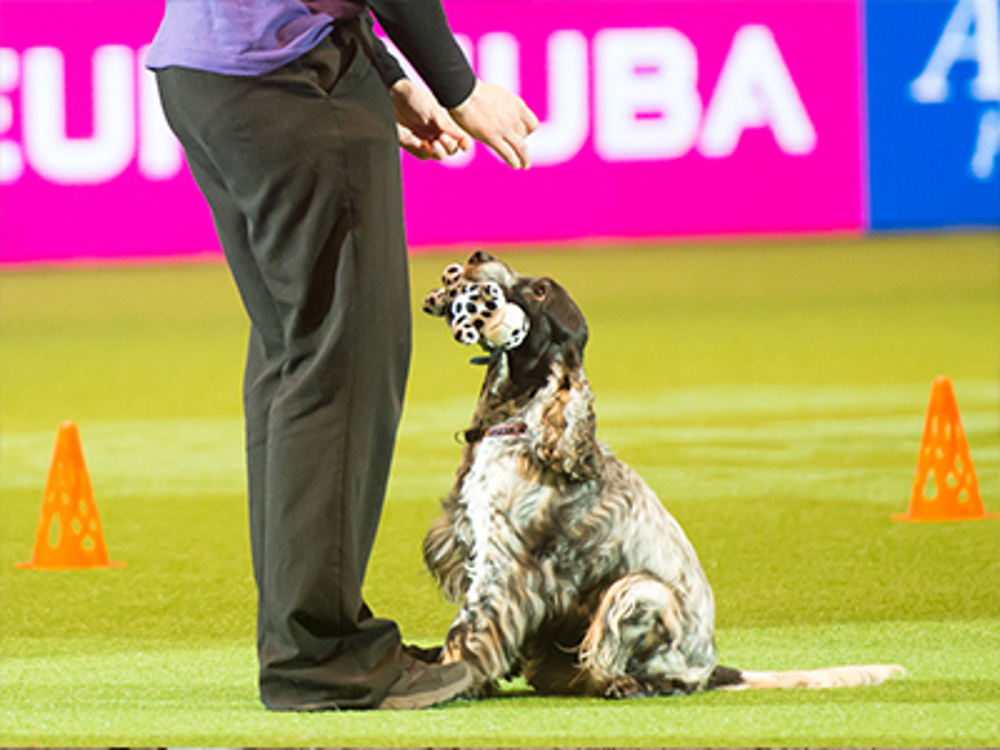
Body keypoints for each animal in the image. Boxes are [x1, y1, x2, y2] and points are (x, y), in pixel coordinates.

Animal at [418, 251, 904, 700]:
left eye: (539, 291)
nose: (478, 256)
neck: (515, 421)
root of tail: (713, 667)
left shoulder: (504, 563)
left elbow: (471, 628)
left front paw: (454, 679)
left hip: (638, 592)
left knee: (653, 673)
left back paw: (626, 684)